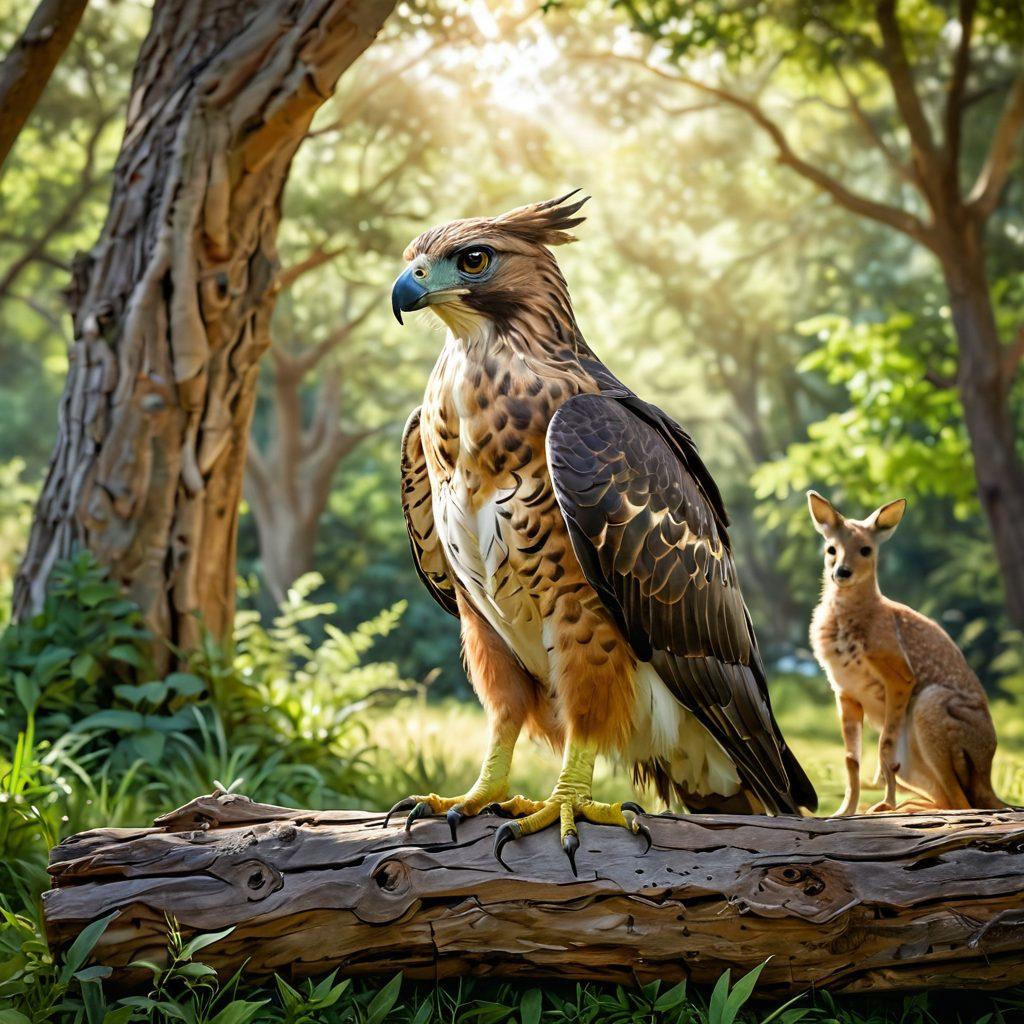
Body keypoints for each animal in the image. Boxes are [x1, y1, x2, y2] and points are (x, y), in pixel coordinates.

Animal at [807, 490, 1002, 815]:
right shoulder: (845, 691)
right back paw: (905, 807)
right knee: (952, 799)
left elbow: (884, 747)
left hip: (928, 704)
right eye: (830, 549)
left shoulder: (900, 676)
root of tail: (989, 781)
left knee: (963, 802)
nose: (841, 572)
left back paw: (896, 808)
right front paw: (843, 812)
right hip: (917, 760)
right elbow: (851, 758)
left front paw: (883, 804)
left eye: (866, 550)